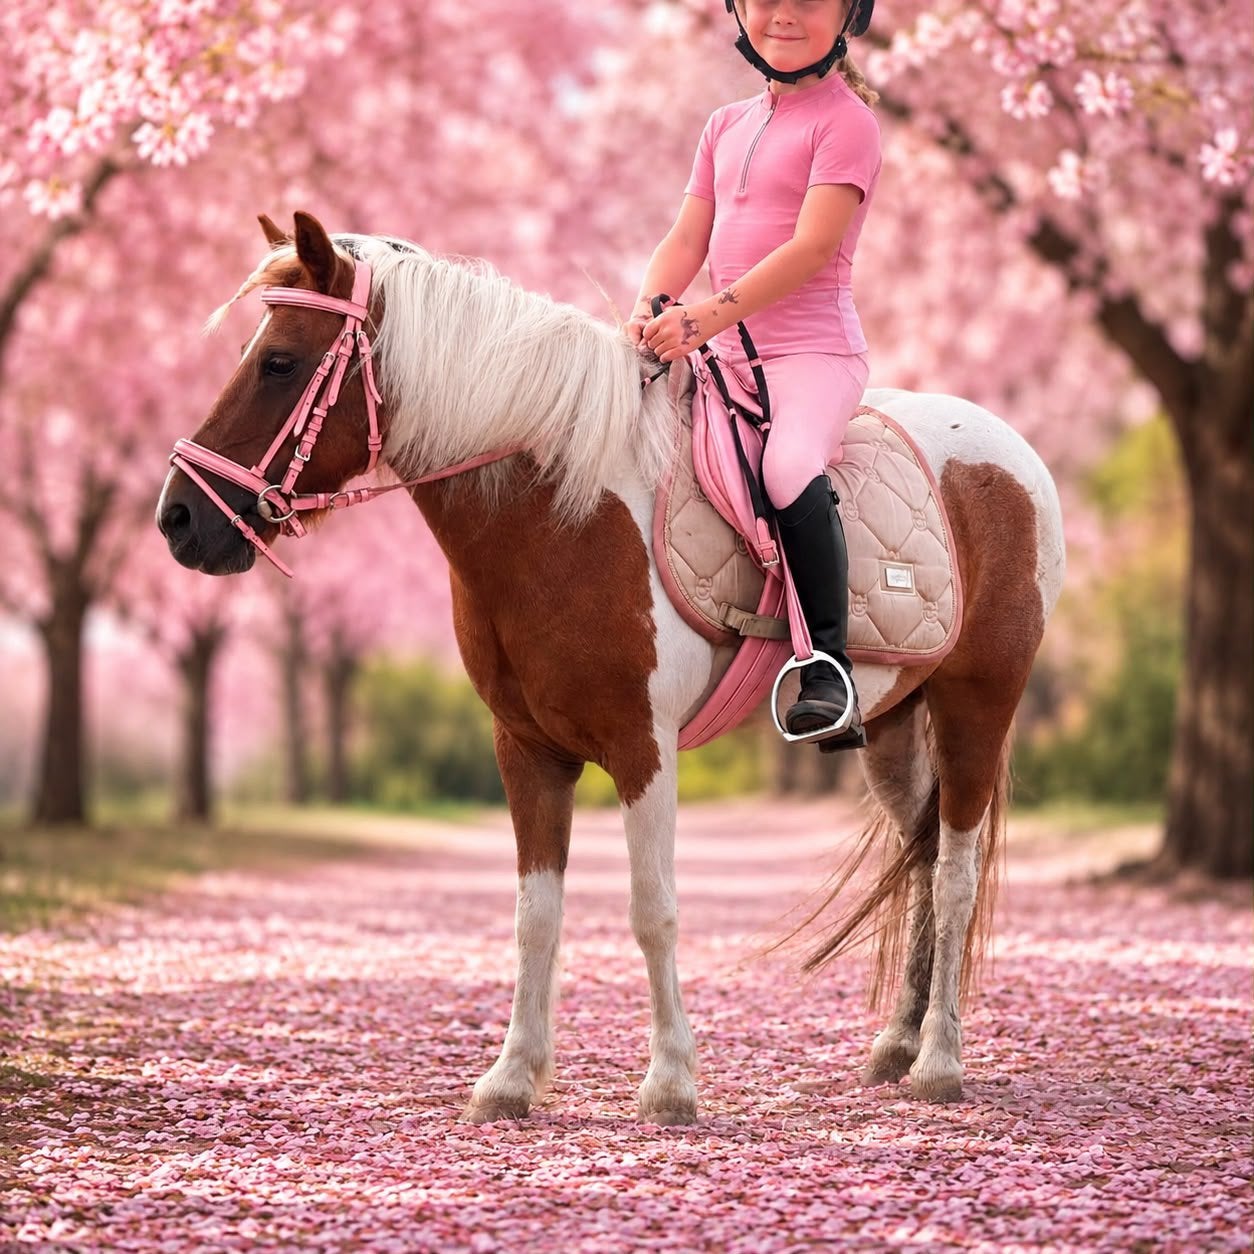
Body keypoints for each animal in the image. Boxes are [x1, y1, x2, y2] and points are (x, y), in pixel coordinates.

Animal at [157, 212, 1065, 1124]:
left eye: (280, 361)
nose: (179, 519)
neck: (565, 508)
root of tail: (1012, 455)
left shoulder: (641, 746)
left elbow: (651, 910)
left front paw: (669, 1084)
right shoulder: (526, 751)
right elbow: (535, 915)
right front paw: (512, 1078)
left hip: (976, 704)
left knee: (952, 872)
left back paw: (939, 1062)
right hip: (890, 724)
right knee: (920, 857)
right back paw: (898, 1044)